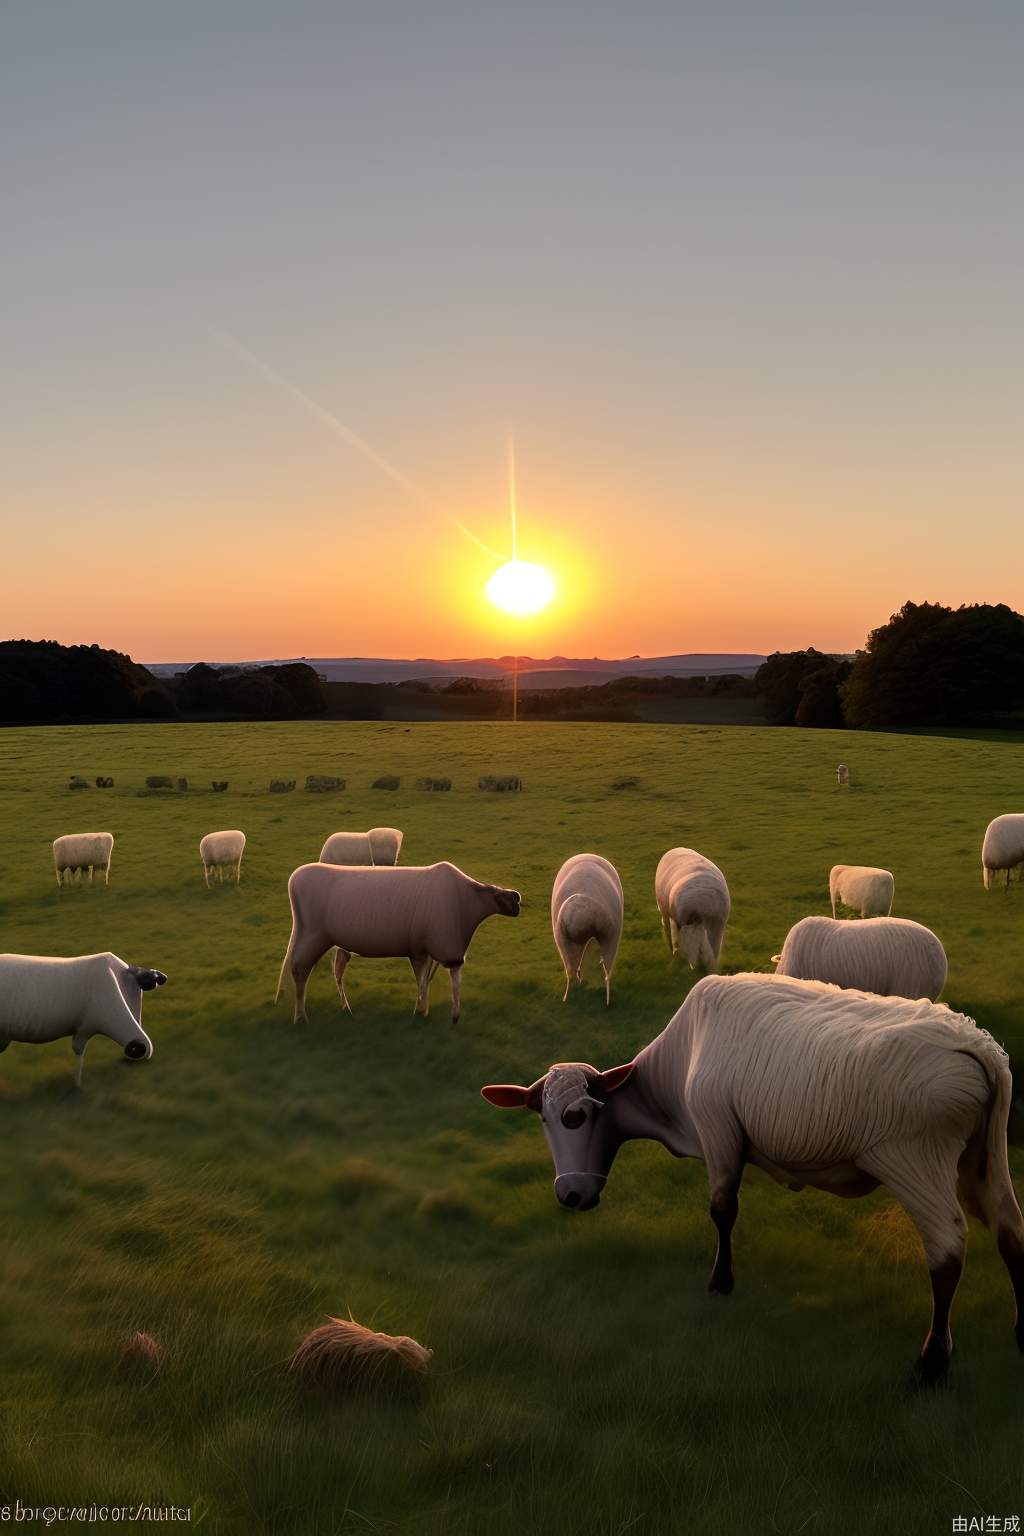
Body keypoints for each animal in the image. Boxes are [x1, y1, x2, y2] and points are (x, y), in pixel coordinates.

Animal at [482, 970, 1024, 1382]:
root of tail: (975, 1047)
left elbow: (723, 1209)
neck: (672, 1075)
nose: (569, 1195)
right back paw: (1021, 1324)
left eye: (575, 1117)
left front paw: (720, 1282)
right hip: (983, 1156)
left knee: (947, 1250)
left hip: (916, 1159)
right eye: (541, 1118)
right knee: (1010, 1230)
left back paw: (932, 1360)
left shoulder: (718, 1131)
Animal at [552, 854, 626, 1007]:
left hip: (565, 940)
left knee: (571, 971)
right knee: (605, 970)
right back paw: (605, 998)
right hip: (610, 935)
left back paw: (571, 995)